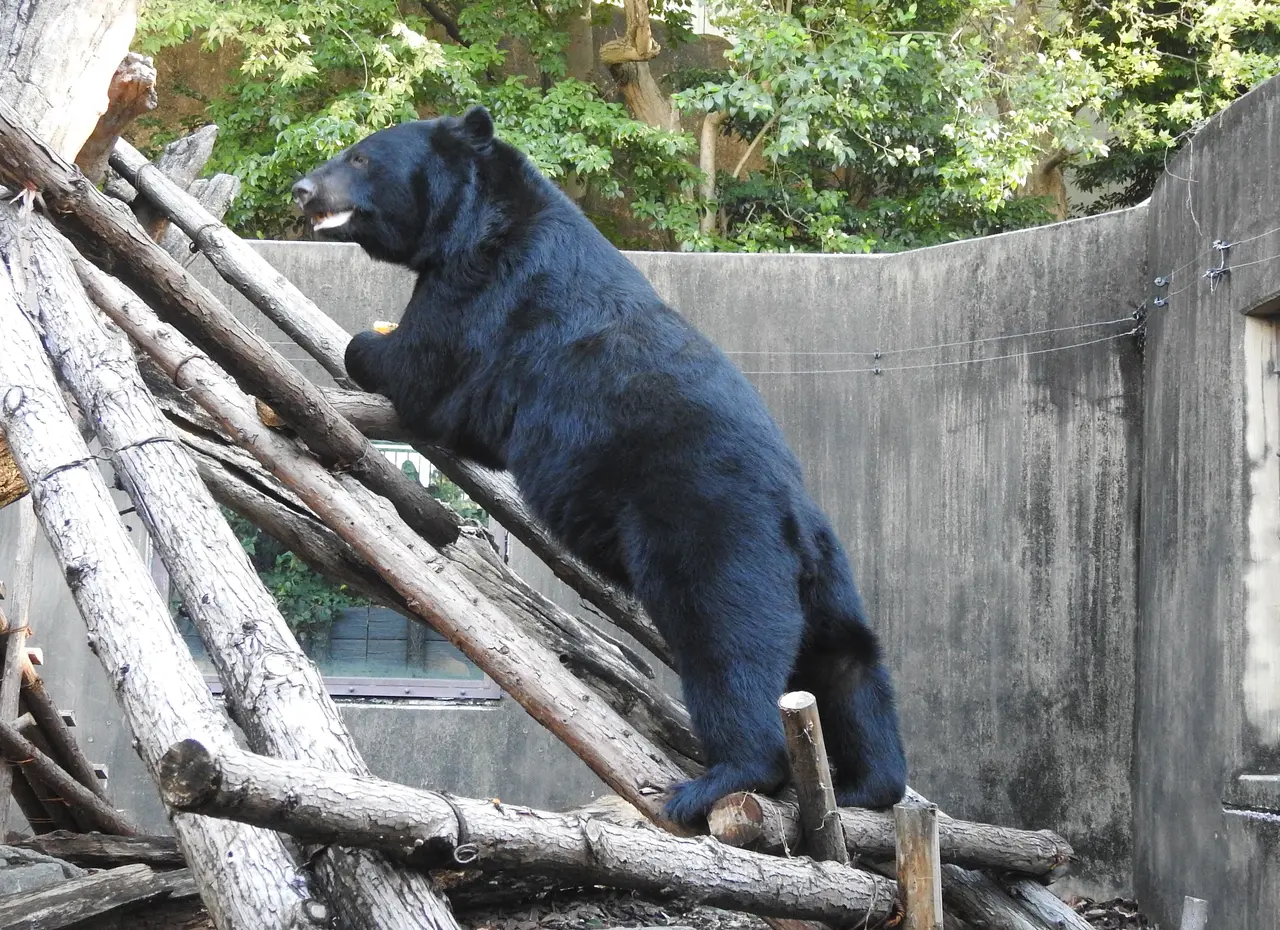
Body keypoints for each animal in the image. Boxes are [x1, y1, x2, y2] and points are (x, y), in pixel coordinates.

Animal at [291, 106, 907, 825]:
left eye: (360, 157)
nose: (304, 190)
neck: (481, 218)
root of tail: (791, 524)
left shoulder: (491, 293)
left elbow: (428, 371)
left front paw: (371, 340)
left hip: (715, 538)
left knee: (728, 647)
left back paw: (719, 777)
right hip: (829, 574)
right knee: (849, 662)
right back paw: (871, 784)